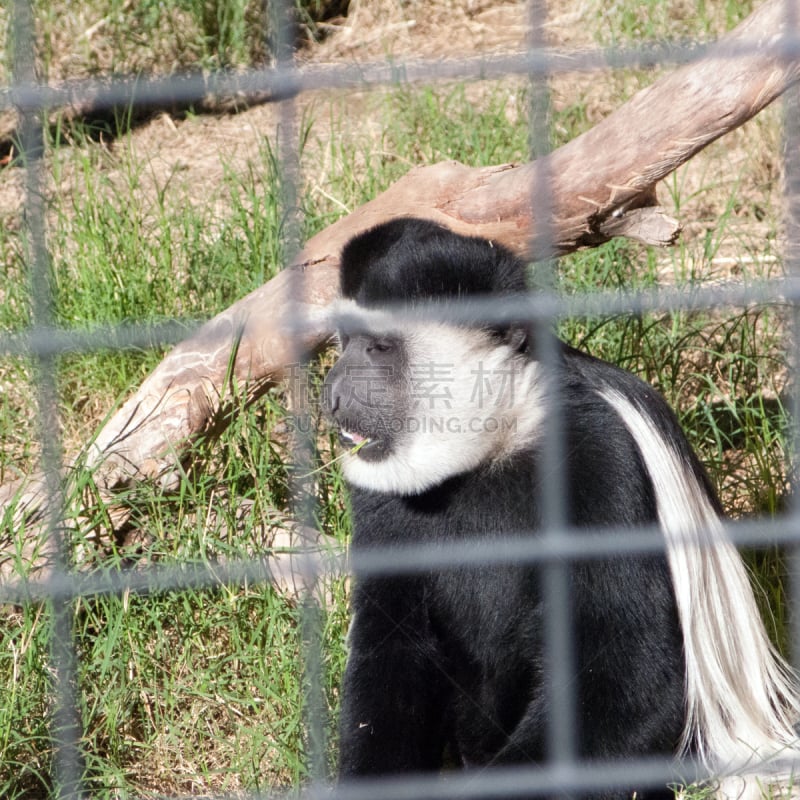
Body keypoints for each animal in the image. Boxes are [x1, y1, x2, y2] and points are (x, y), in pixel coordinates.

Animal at [322, 216, 796, 796]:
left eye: (379, 348)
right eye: (346, 341)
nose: (332, 394)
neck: (500, 441)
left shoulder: (599, 453)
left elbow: (630, 677)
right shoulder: (381, 489)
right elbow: (394, 647)